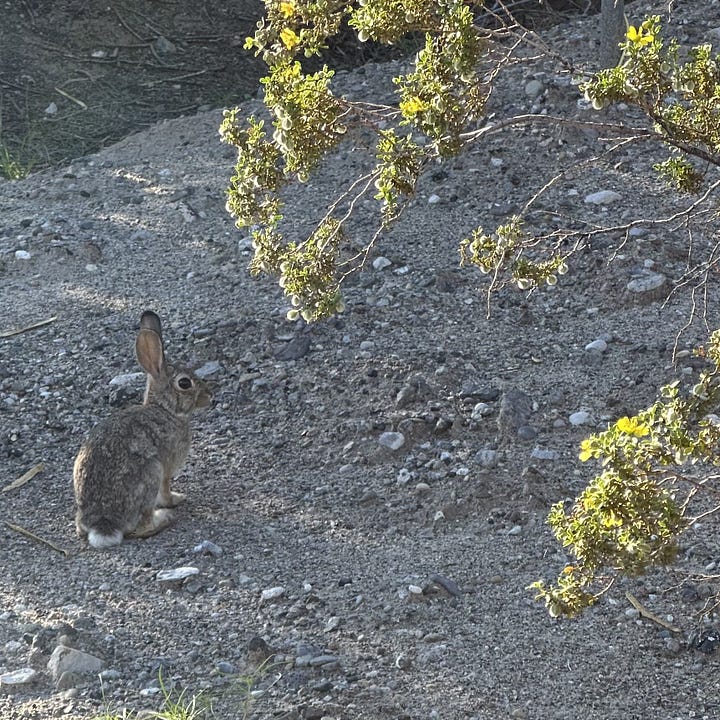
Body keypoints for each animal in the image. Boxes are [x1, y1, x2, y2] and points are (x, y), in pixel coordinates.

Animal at [73, 310, 212, 548]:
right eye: (185, 383)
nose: (209, 396)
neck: (165, 409)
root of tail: (103, 523)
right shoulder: (167, 467)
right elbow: (166, 489)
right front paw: (176, 499)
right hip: (150, 474)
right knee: (143, 526)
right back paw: (165, 518)